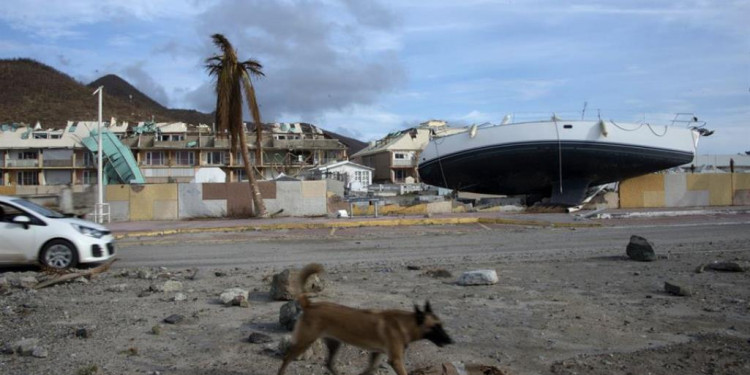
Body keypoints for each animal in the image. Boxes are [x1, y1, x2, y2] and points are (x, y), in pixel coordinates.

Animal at [276, 264, 452, 375]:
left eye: (441, 325)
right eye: (435, 327)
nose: (451, 341)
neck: (405, 323)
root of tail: (310, 304)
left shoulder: (376, 354)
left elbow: (369, 370)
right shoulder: (395, 360)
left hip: (334, 343)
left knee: (329, 364)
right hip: (305, 341)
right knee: (286, 359)